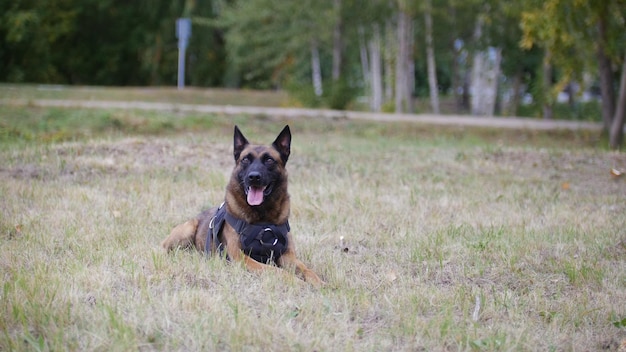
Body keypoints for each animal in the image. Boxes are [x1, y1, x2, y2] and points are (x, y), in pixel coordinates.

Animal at [162, 125, 322, 288]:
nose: (254, 177)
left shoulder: (287, 256)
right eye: (245, 159)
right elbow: (275, 270)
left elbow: (307, 270)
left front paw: (320, 283)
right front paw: (297, 282)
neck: (263, 218)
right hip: (186, 230)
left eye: (269, 160)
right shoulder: (241, 258)